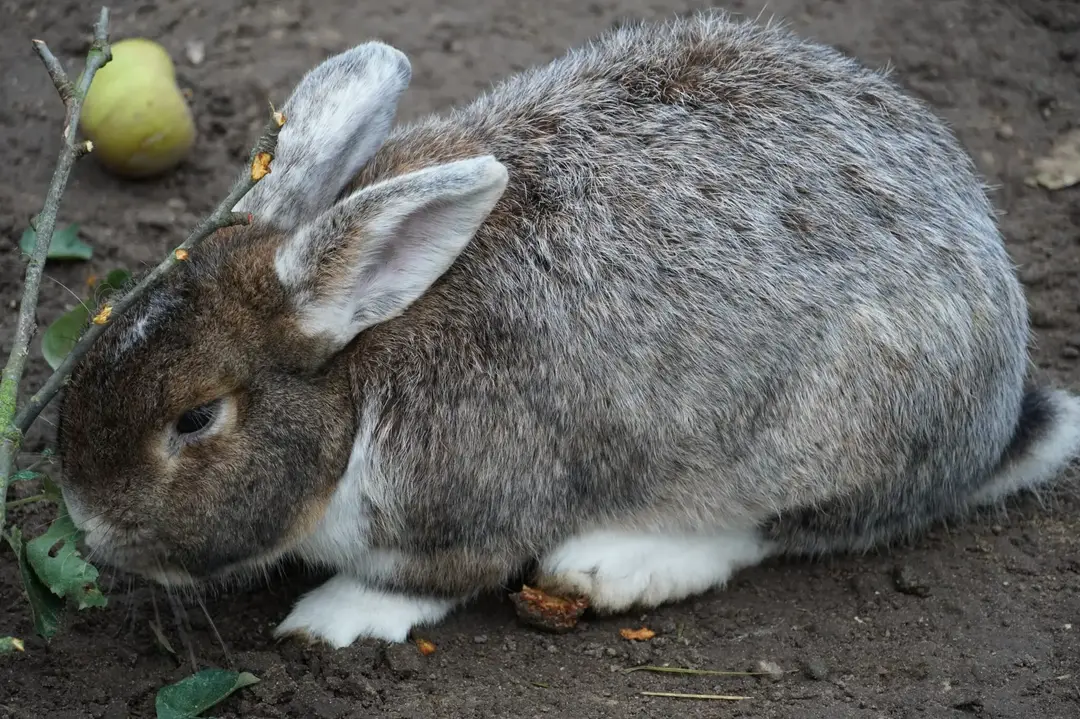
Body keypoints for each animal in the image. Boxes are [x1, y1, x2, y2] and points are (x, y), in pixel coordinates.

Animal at [56, 8, 1080, 647]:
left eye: (196, 419)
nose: (88, 526)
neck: (356, 377)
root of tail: (998, 416)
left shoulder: (470, 511)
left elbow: (423, 580)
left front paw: (330, 618)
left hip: (835, 424)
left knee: (779, 530)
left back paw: (616, 565)